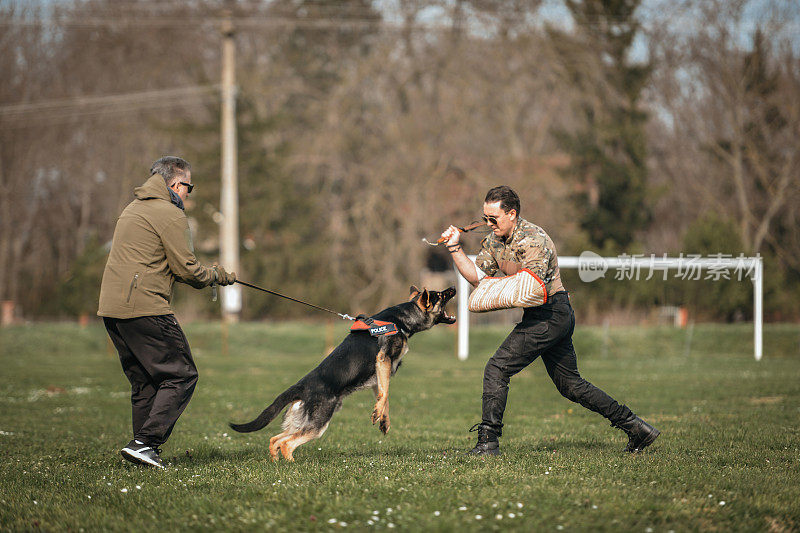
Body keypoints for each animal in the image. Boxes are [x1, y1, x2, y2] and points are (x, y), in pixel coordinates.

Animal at [228, 284, 460, 460]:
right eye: (441, 295)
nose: (453, 287)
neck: (401, 320)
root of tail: (301, 386)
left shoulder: (379, 373)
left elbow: (383, 394)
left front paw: (383, 419)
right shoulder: (383, 360)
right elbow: (385, 393)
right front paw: (378, 414)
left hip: (303, 422)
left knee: (275, 439)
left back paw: (276, 462)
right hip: (318, 423)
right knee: (287, 443)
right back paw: (291, 464)